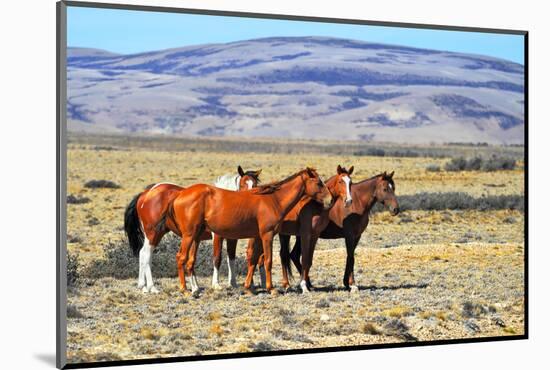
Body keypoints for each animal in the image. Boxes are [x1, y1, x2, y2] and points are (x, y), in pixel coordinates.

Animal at [125, 166, 264, 294]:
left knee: (142, 253)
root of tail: (145, 194)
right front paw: (216, 284)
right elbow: (217, 258)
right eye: (243, 184)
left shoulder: (232, 238)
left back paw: (143, 286)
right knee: (146, 254)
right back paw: (152, 287)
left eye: (255, 184)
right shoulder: (217, 236)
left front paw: (233, 283)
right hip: (154, 234)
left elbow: (231, 258)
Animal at [164, 168, 334, 294]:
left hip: (196, 236)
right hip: (189, 235)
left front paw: (248, 287)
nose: (330, 200)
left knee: (189, 261)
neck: (273, 200)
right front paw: (271, 288)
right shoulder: (267, 235)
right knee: (181, 257)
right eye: (318, 182)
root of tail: (179, 195)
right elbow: (268, 260)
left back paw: (195, 289)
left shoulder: (257, 237)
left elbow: (253, 259)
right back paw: (185, 289)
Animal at [247, 166, 358, 294]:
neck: (315, 206)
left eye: (351, 182)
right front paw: (304, 286)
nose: (348, 201)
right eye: (340, 181)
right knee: (253, 254)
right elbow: (304, 259)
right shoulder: (305, 235)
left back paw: (284, 284)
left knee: (280, 255)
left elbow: (309, 260)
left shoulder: (315, 235)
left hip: (282, 234)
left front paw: (308, 285)